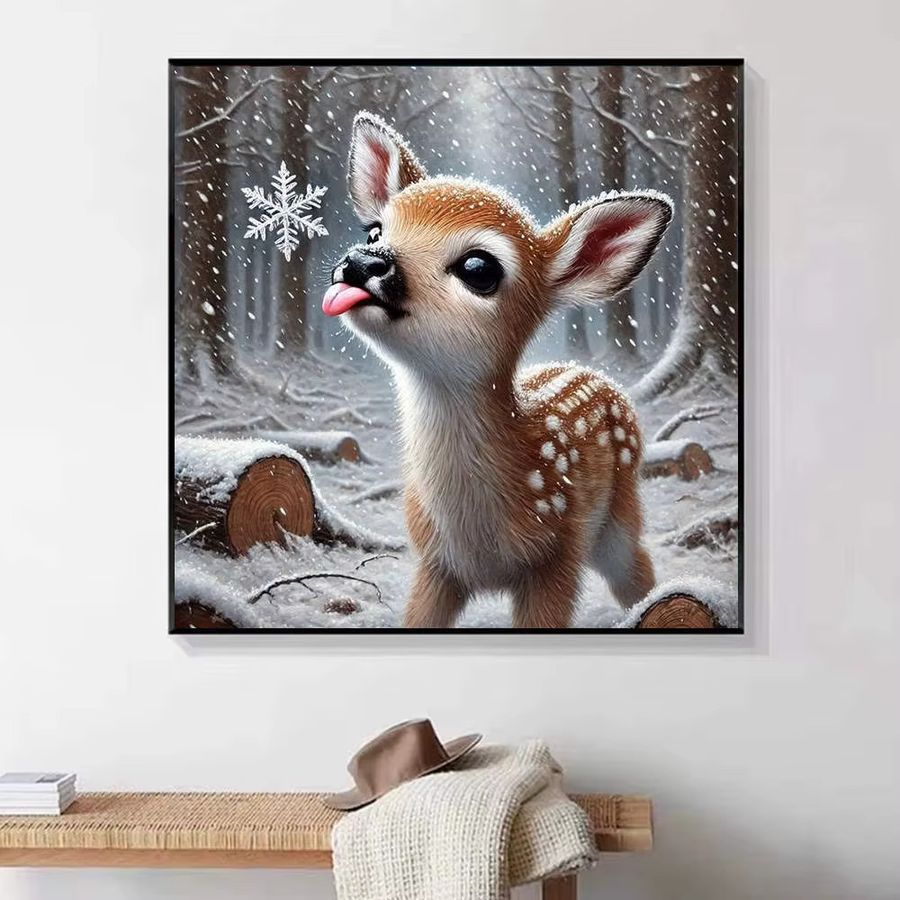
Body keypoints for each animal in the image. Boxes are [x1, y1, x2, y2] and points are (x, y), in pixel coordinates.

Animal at [323, 112, 673, 629]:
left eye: (478, 268)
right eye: (374, 231)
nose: (362, 261)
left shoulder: (558, 556)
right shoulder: (434, 564)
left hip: (620, 510)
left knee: (638, 567)